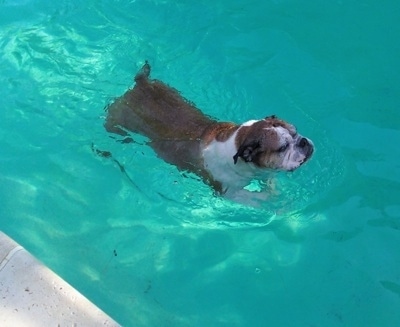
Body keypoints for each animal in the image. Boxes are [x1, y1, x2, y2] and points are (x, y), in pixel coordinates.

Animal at [104, 60, 314, 201]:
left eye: (296, 132)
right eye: (283, 147)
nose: (304, 142)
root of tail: (142, 83)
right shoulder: (229, 193)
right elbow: (258, 199)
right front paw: (276, 203)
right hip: (116, 122)